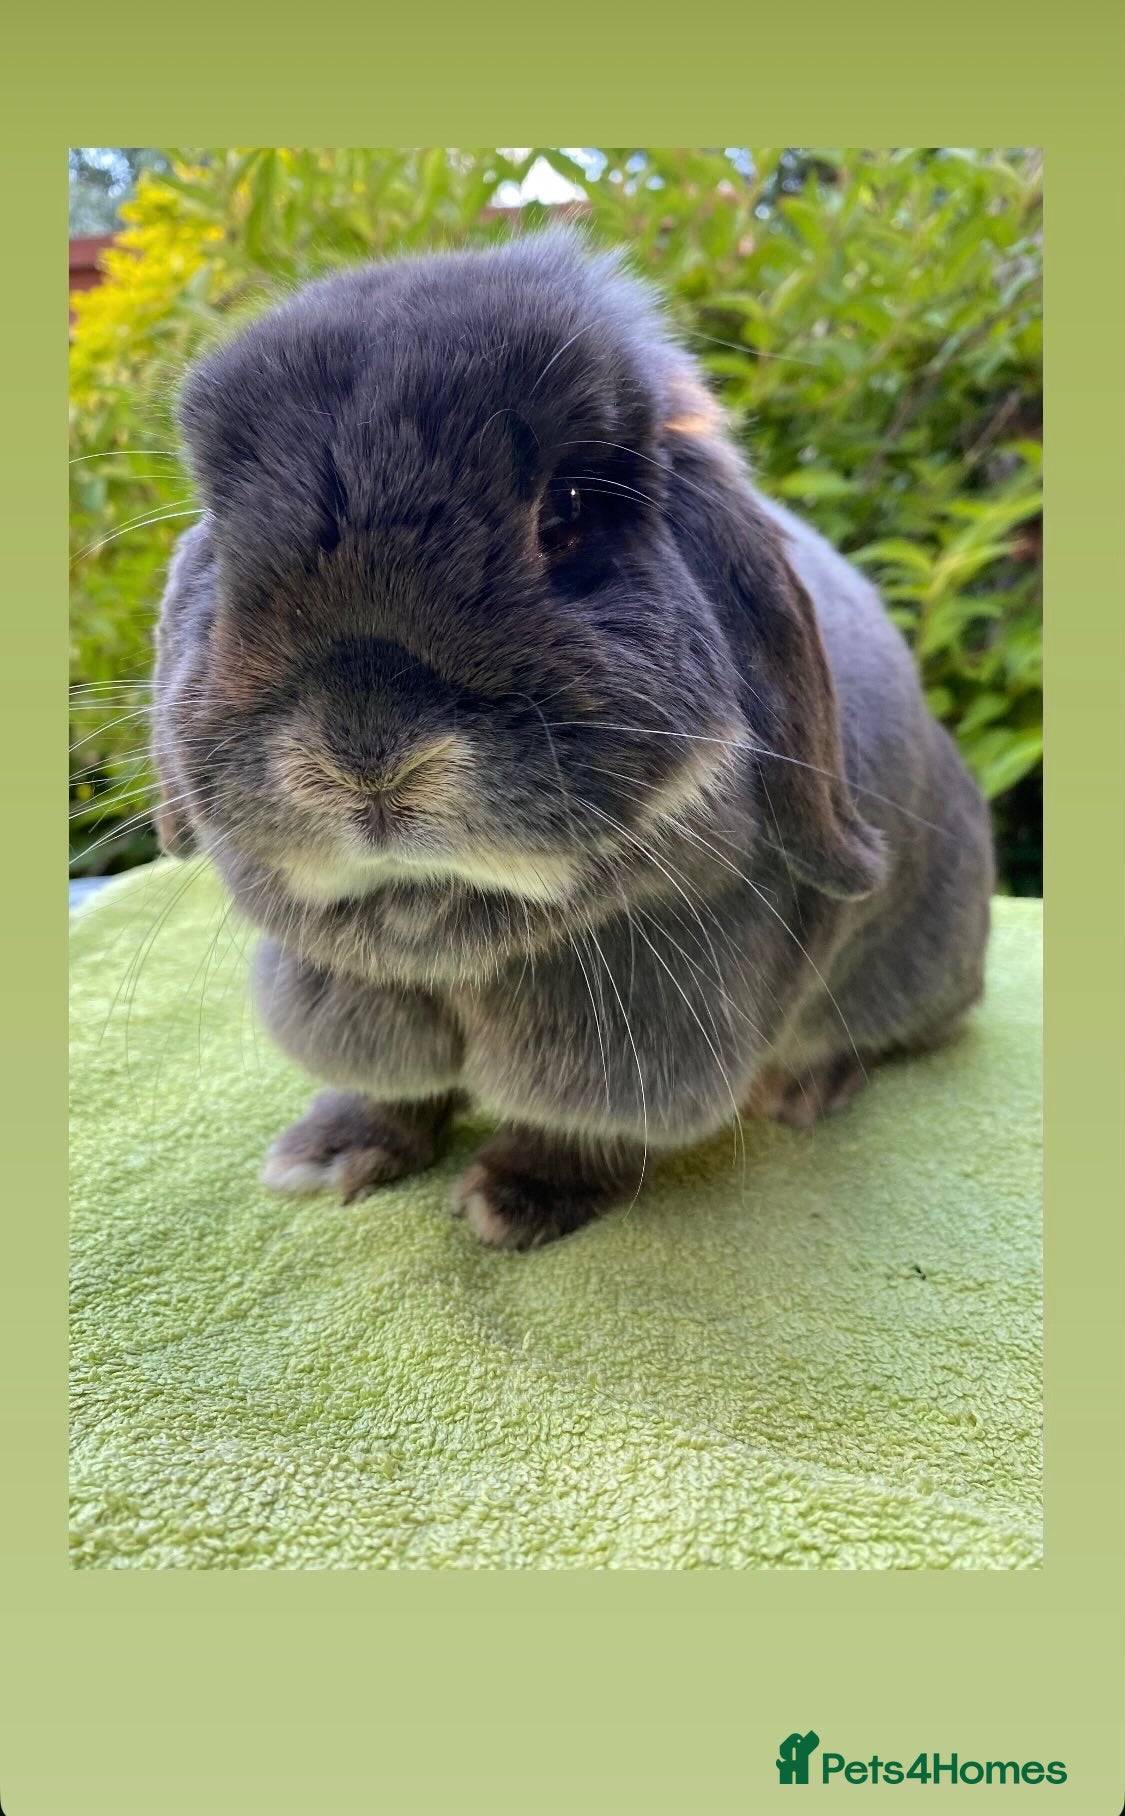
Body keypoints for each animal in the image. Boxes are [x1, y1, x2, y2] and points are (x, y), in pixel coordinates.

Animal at [152, 226, 994, 1249]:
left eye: (566, 512)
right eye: (223, 534)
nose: (365, 754)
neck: (440, 921)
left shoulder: (641, 1033)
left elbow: (584, 1126)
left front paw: (515, 1199)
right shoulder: (351, 998)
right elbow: (396, 1087)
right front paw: (329, 1153)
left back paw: (807, 1089)